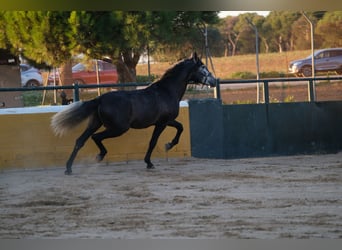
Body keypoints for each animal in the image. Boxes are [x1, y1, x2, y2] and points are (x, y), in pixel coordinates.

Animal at [50, 52, 216, 175]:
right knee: (95, 137)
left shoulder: (166, 121)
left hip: (95, 123)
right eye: (203, 68)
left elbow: (180, 127)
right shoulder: (161, 123)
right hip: (119, 128)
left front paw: (168, 145)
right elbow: (153, 141)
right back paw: (99, 156)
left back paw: (68, 168)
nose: (214, 82)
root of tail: (100, 99)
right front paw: (150, 161)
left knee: (80, 141)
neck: (166, 91)